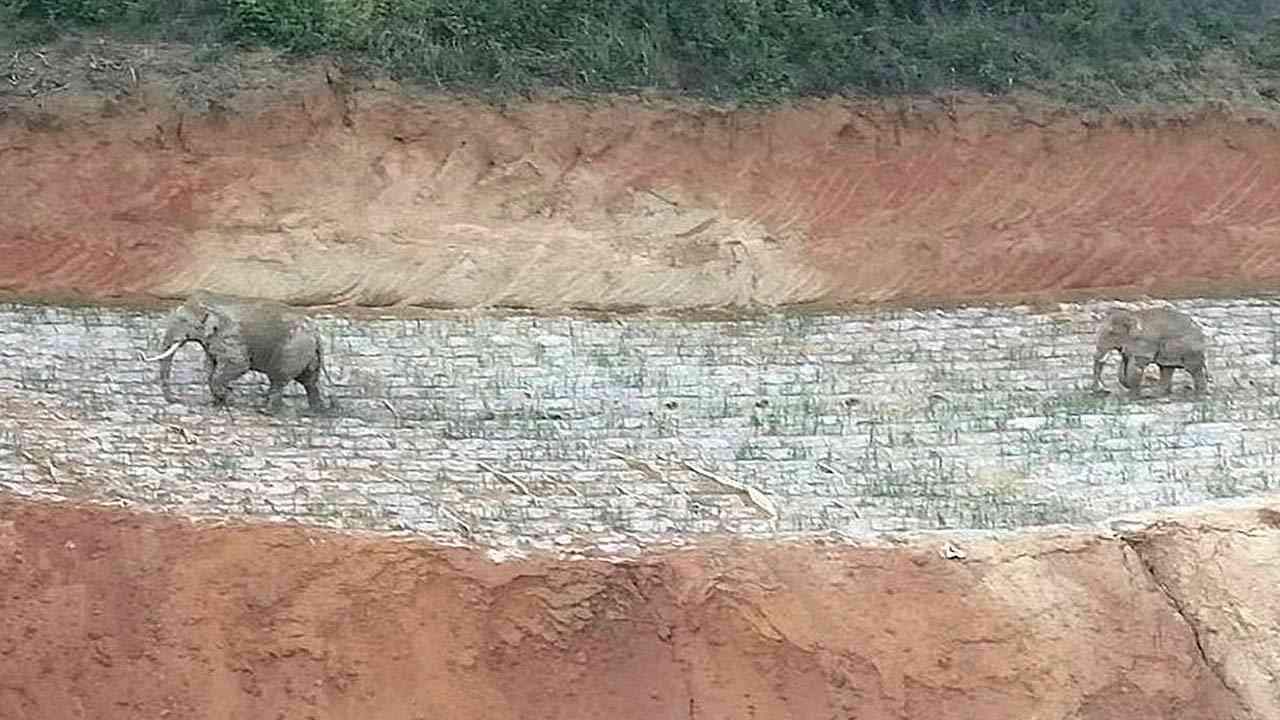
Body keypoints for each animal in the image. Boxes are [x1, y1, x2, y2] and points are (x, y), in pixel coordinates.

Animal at [144, 288, 335, 412]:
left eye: (183, 320)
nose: (176, 399)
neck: (209, 302)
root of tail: (316, 332)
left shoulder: (231, 338)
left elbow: (238, 365)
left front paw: (228, 396)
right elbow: (210, 366)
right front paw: (219, 401)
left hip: (294, 349)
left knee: (279, 379)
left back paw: (267, 410)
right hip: (308, 353)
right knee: (310, 381)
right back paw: (317, 410)